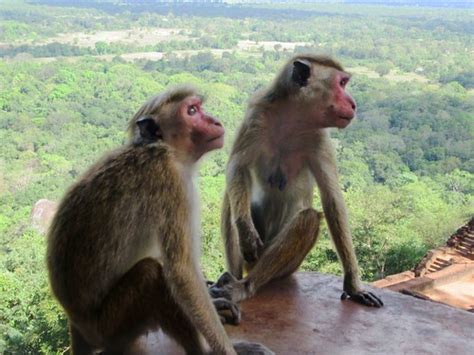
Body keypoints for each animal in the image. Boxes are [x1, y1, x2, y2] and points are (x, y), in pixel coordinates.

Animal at [47, 87, 272, 355]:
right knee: (151, 276)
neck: (164, 148)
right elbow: (182, 272)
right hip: (109, 326)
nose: (215, 121)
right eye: (192, 111)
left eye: (199, 108)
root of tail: (77, 324)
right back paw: (203, 350)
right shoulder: (169, 179)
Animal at [212, 55, 386, 308]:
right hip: (252, 257)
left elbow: (332, 200)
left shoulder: (319, 138)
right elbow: (238, 167)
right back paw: (232, 278)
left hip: (286, 267)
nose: (353, 104)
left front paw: (354, 287)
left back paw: (246, 286)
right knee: (231, 199)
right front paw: (246, 233)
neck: (293, 118)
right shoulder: (257, 114)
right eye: (342, 83)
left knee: (308, 219)